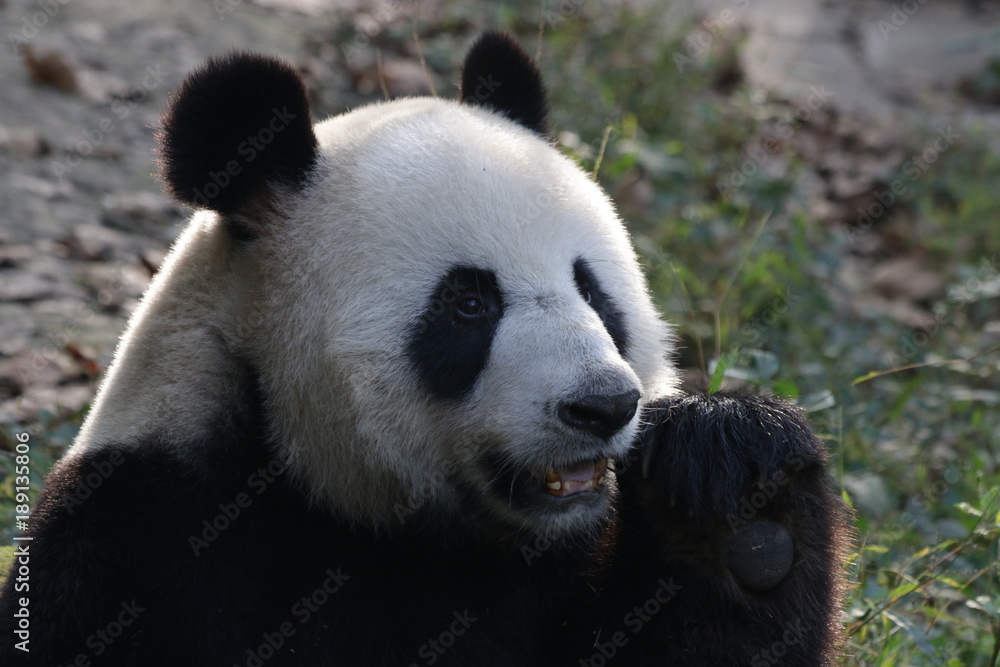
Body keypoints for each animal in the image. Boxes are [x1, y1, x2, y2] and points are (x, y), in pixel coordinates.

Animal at [0, 32, 848, 666]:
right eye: (469, 304)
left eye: (592, 289)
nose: (603, 405)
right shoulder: (140, 539)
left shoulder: (573, 562)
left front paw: (738, 483)